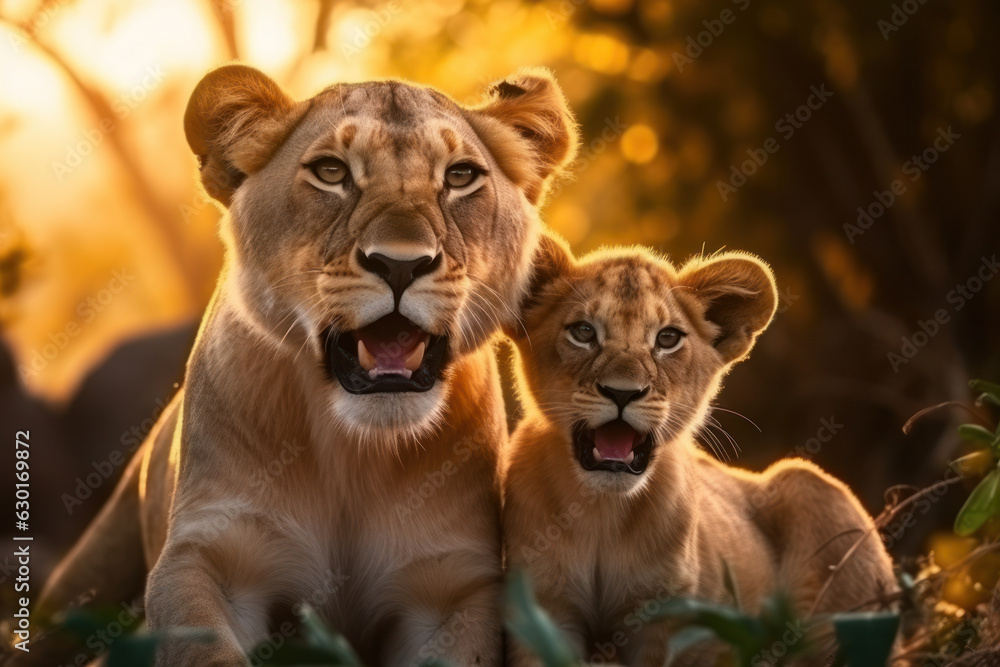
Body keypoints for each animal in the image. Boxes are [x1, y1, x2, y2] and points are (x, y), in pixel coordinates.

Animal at [15, 65, 578, 667]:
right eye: (331, 172)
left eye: (461, 176)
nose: (400, 265)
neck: (354, 453)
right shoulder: (209, 553)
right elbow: (204, 646)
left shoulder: (453, 586)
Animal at [501, 238, 896, 666]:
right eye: (583, 331)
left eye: (668, 339)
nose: (622, 393)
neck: (602, 513)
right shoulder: (543, 607)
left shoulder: (664, 618)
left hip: (812, 505)